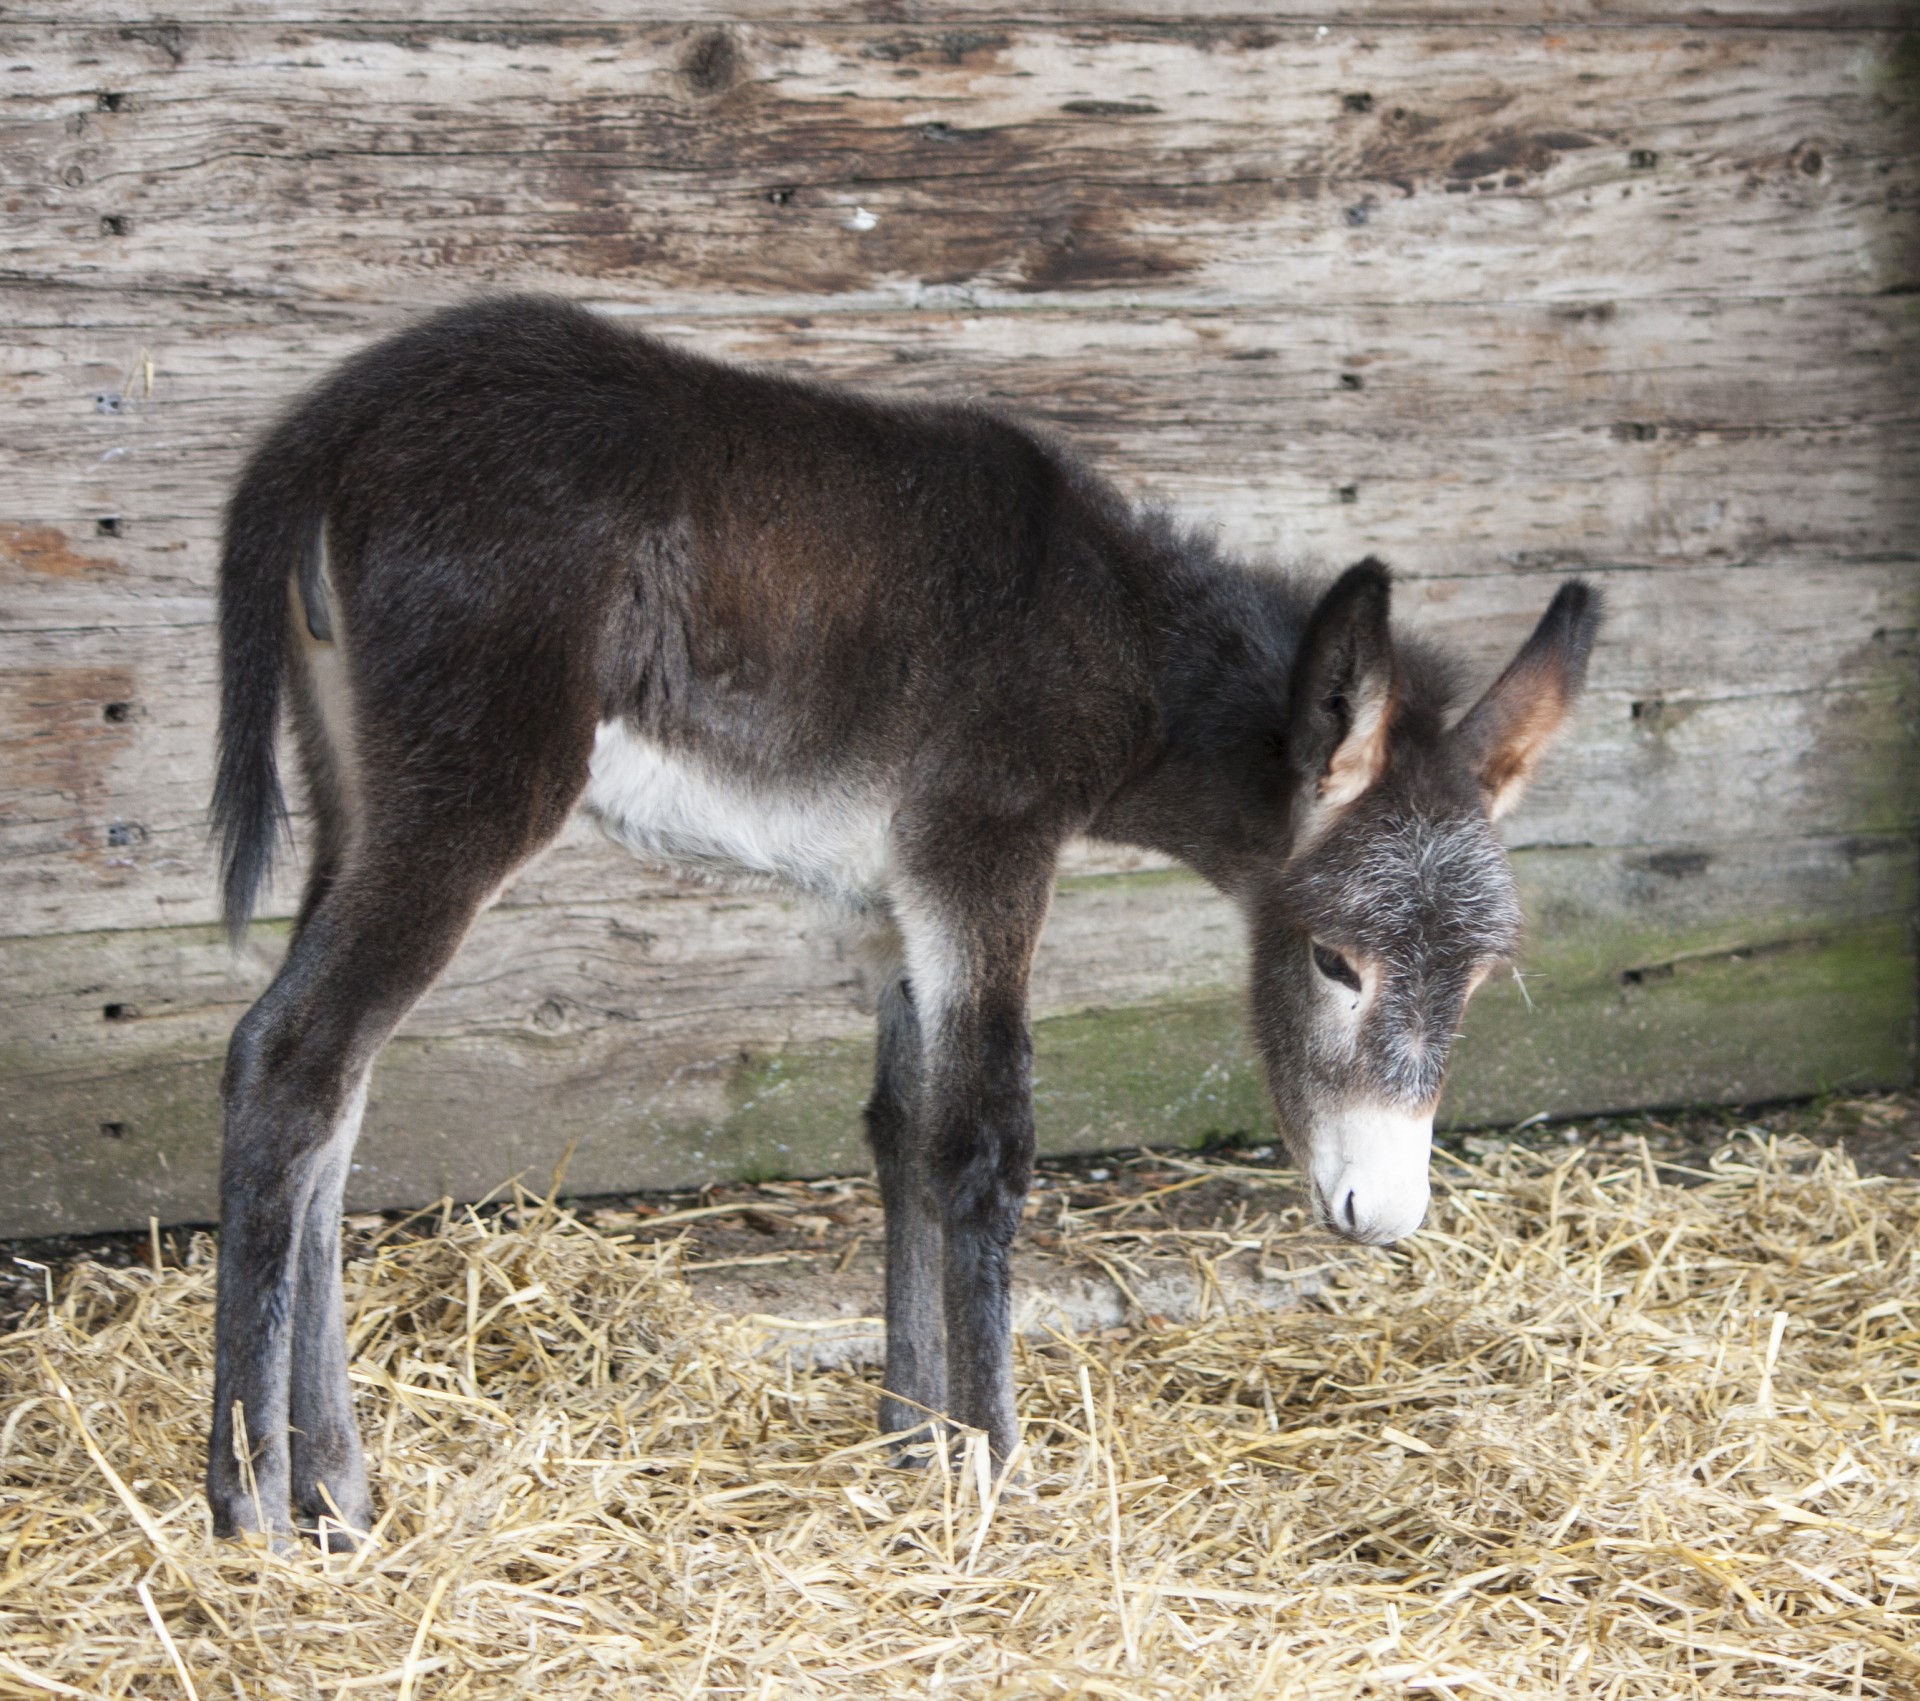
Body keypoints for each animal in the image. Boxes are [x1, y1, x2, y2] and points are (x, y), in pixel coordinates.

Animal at [206, 293, 1605, 1543]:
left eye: (1474, 985)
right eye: (1332, 961)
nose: (1388, 1216)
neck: (1116, 633)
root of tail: (334, 421)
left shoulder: (894, 901)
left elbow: (905, 1135)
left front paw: (915, 1440)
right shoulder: (983, 852)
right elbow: (986, 1144)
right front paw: (997, 1466)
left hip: (358, 793)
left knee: (335, 1103)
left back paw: (337, 1489)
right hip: (470, 798)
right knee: (289, 1056)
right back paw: (251, 1503)